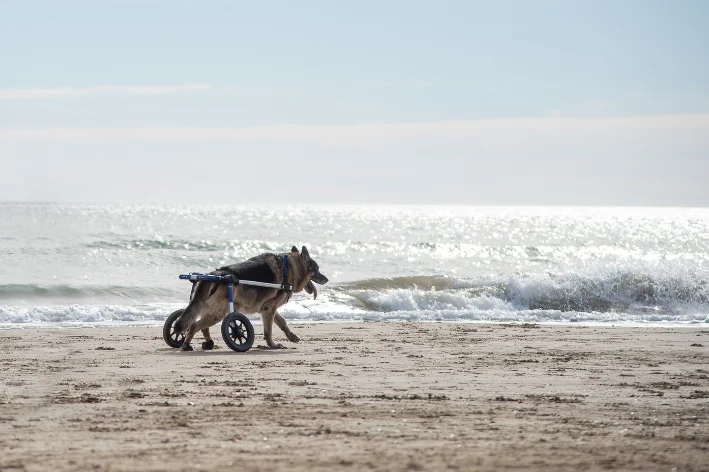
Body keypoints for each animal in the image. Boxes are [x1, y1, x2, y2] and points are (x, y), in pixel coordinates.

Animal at [173, 247, 328, 350]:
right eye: (317, 270)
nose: (326, 279)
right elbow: (269, 330)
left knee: (201, 326)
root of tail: (214, 275)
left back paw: (208, 343)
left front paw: (291, 336)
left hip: (211, 310)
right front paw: (272, 345)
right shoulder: (269, 310)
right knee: (194, 325)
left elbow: (282, 322)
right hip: (218, 313)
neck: (288, 268)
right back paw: (186, 344)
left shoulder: (268, 309)